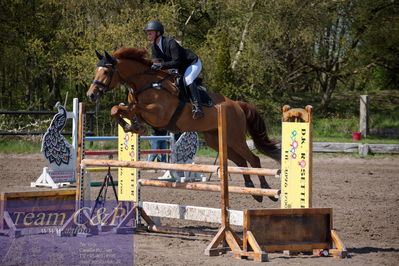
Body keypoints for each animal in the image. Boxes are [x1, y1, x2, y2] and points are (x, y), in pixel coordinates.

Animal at [87, 47, 282, 202]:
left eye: (106, 72)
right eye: (96, 71)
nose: (91, 95)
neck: (146, 83)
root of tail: (237, 104)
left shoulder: (158, 114)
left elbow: (133, 108)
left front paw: (131, 125)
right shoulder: (145, 114)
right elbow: (118, 109)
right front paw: (131, 126)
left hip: (235, 138)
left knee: (253, 159)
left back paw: (267, 190)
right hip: (216, 139)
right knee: (241, 161)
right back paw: (252, 190)